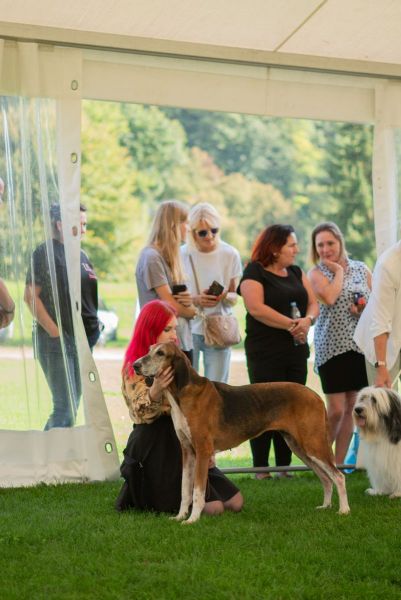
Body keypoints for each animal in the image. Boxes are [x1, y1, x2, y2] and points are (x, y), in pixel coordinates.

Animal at [134, 343, 350, 523]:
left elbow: (197, 491)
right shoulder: (187, 452)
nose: (135, 365)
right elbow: (184, 490)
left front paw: (193, 519)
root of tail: (315, 395)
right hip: (300, 448)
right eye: (150, 349)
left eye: (160, 353)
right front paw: (180, 516)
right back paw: (325, 506)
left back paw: (344, 510)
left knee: (338, 476)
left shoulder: (202, 452)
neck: (182, 393)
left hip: (313, 445)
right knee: (325, 479)